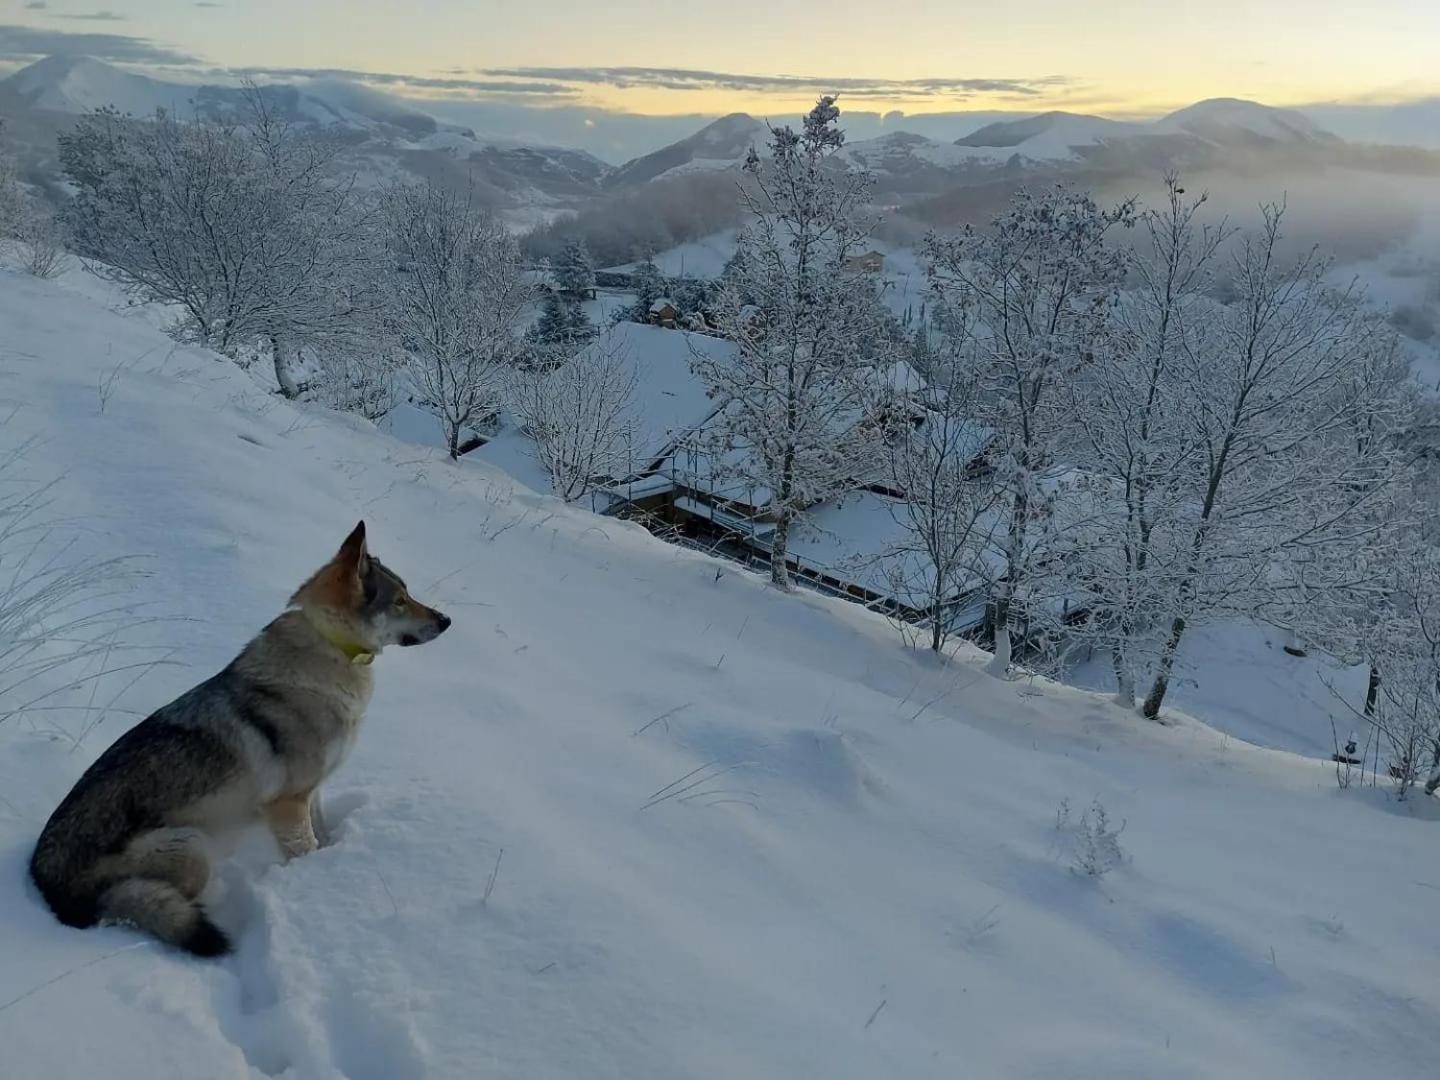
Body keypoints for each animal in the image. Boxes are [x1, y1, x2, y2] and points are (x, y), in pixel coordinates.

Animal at [29, 524, 449, 956]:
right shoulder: (288, 804)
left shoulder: (312, 791)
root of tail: (41, 878)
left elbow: (322, 833)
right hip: (193, 848)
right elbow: (305, 846)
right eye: (400, 601)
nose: (447, 620)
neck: (330, 653)